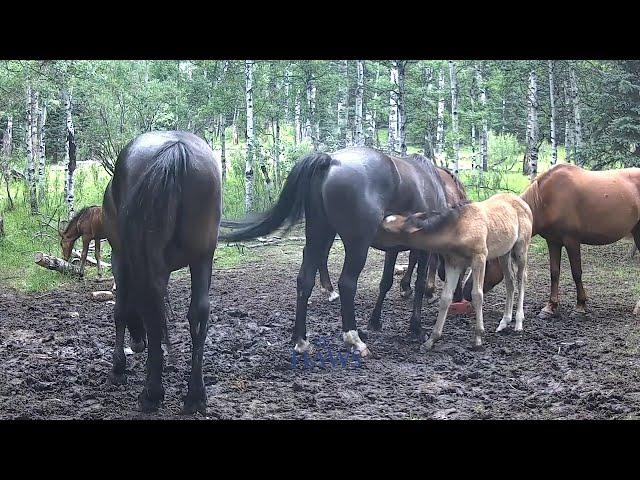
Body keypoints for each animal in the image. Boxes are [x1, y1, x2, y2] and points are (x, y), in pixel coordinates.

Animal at [100, 130, 220, 412]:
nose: (138, 342)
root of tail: (176, 149)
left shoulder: (121, 259)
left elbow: (120, 310)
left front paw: (118, 367)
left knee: (151, 310)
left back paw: (151, 393)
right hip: (203, 257)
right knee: (198, 312)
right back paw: (195, 395)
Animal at [220, 147, 444, 356]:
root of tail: (330, 160)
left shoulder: (393, 249)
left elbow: (386, 282)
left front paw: (376, 321)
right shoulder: (422, 248)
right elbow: (419, 283)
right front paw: (416, 327)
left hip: (318, 235)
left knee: (305, 280)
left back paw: (301, 340)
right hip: (356, 245)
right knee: (346, 284)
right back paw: (353, 339)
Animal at [382, 193, 532, 350]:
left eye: (388, 230)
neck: (459, 228)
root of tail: (522, 202)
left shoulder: (479, 257)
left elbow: (477, 295)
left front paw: (478, 337)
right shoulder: (453, 263)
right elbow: (445, 298)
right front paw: (431, 339)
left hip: (521, 248)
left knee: (521, 279)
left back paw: (518, 322)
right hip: (504, 253)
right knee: (510, 282)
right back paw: (504, 321)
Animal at [464, 164, 640, 318]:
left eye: (487, 262)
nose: (466, 292)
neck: (546, 200)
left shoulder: (572, 241)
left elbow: (576, 273)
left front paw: (580, 306)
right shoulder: (553, 242)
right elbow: (554, 272)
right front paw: (550, 307)